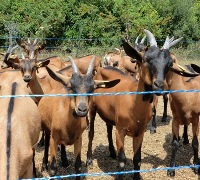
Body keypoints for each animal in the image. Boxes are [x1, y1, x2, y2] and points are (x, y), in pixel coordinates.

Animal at [86, 28, 195, 179]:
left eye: (169, 64)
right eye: (146, 59)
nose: (159, 85)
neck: (133, 105)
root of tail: (102, 68)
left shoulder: (140, 132)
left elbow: (137, 159)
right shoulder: (121, 131)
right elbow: (122, 160)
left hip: (109, 113)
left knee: (108, 128)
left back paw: (112, 152)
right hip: (92, 107)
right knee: (91, 132)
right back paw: (89, 160)